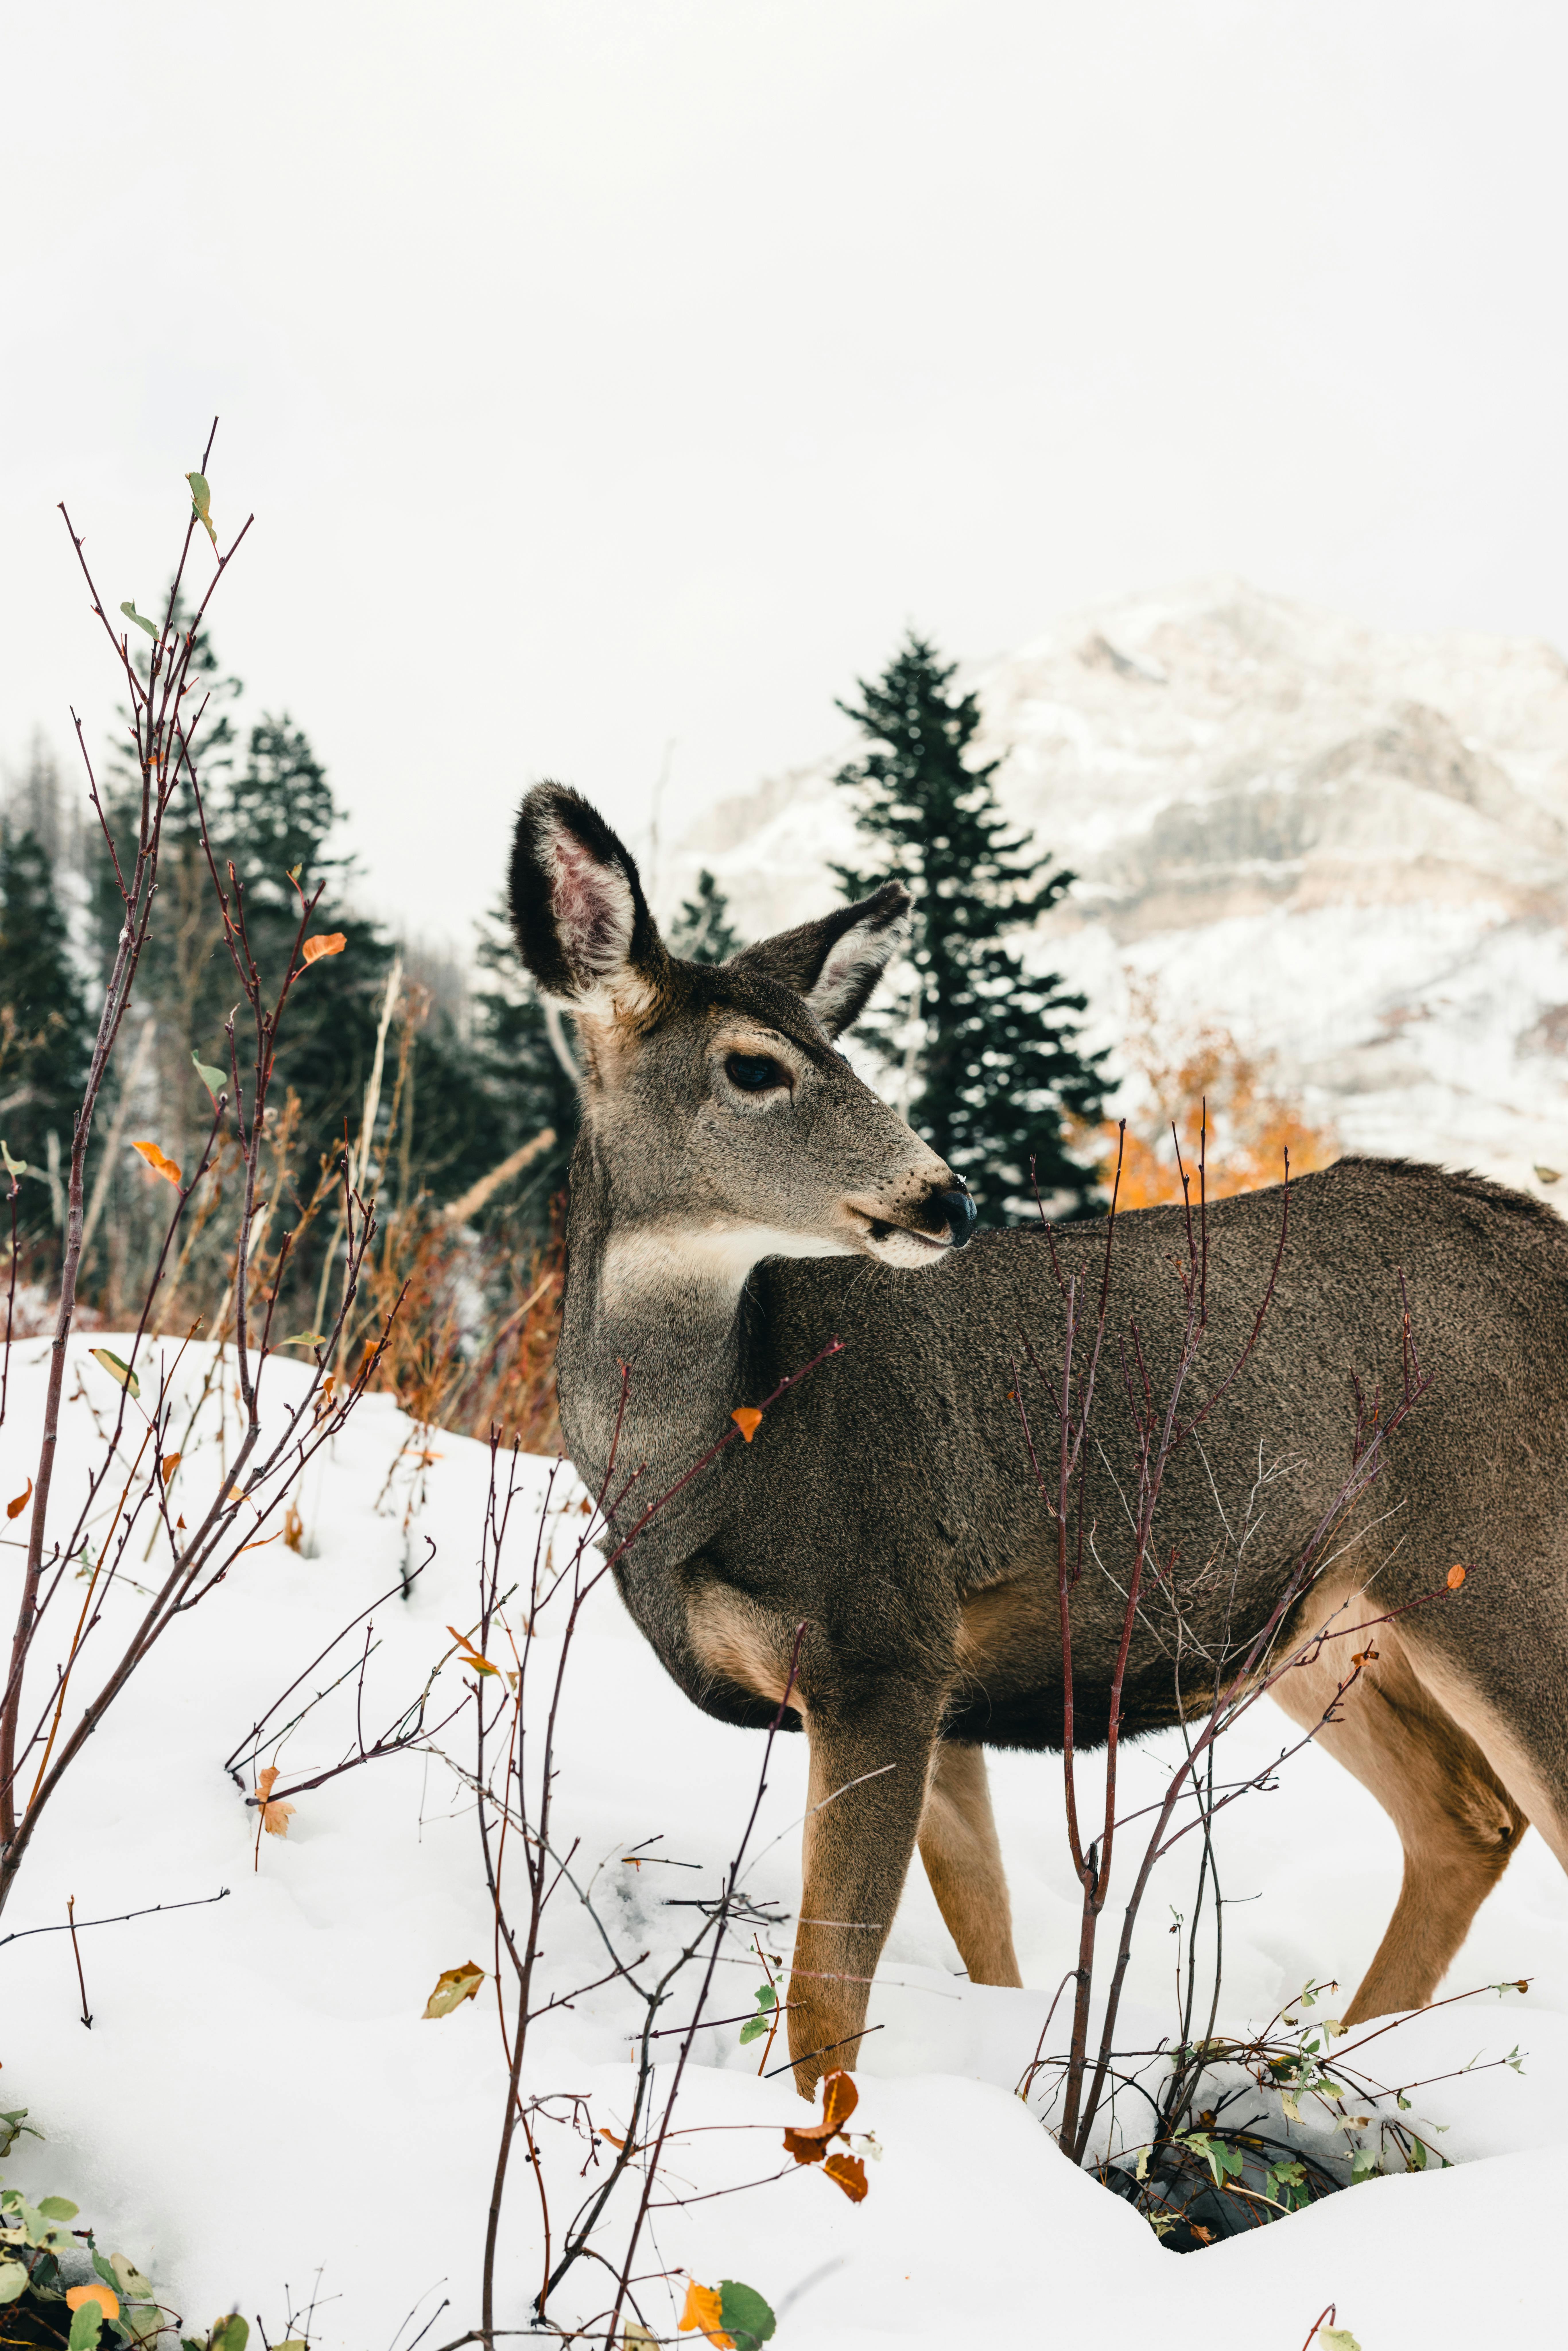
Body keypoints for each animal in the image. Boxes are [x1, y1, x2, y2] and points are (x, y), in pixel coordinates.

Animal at [509, 779, 1568, 2097]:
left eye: (843, 1053)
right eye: (752, 1065)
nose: (944, 1197)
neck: (694, 1467)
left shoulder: (881, 1633)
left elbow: (823, 2002)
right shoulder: (929, 1682)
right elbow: (987, 1944)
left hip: (1501, 1555)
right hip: (1326, 1615)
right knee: (1462, 1815)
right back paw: (1324, 2061)